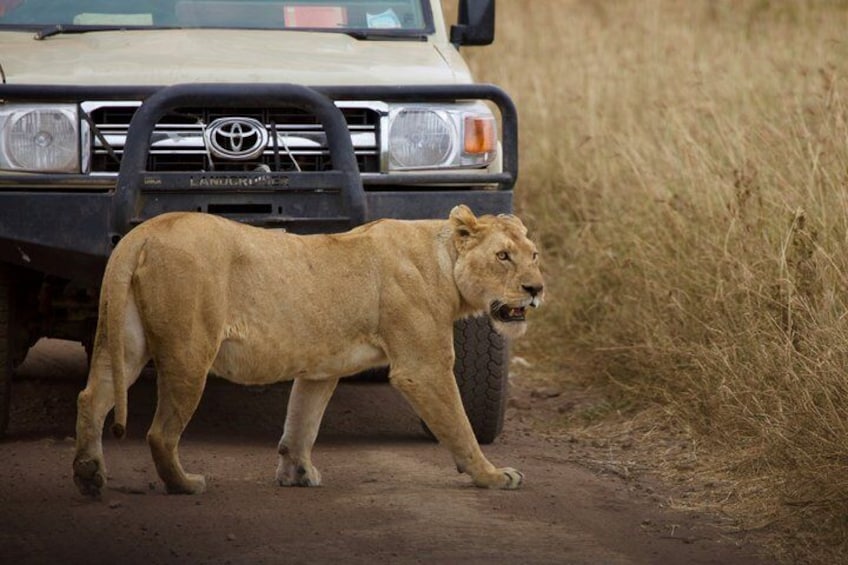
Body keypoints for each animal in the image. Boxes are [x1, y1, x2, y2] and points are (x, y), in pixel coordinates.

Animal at [72, 205, 544, 496]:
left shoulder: (320, 368)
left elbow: (302, 420)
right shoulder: (423, 367)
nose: (536, 289)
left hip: (126, 341)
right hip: (190, 350)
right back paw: (184, 485)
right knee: (160, 432)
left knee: (92, 396)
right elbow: (460, 426)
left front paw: (296, 473)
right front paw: (493, 475)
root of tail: (143, 232)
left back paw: (89, 475)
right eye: (503, 256)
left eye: (535, 255)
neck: (443, 258)